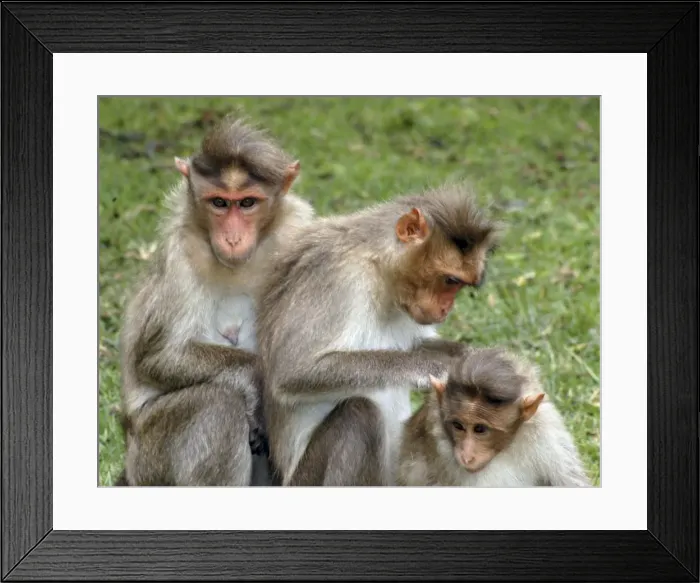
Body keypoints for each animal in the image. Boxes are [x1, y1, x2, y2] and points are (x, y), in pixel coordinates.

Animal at [118, 116, 314, 486]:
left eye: (248, 203)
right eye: (220, 203)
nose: (233, 238)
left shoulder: (300, 231)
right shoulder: (181, 252)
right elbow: (159, 357)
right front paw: (254, 379)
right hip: (149, 458)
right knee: (217, 403)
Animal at [256, 184, 500, 487]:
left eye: (461, 285)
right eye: (450, 280)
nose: (446, 309)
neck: (380, 271)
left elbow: (419, 342)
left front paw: (469, 356)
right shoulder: (336, 278)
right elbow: (293, 370)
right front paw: (432, 366)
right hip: (304, 480)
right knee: (360, 414)